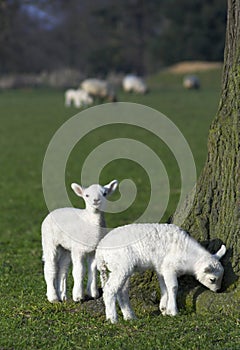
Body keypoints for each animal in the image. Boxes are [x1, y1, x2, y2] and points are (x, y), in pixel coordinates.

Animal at [94, 223, 226, 324]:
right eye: (212, 279)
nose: (218, 290)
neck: (188, 255)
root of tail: (100, 251)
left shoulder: (161, 268)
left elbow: (164, 287)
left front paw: (164, 308)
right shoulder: (169, 267)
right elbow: (173, 287)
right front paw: (173, 311)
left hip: (122, 268)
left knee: (121, 291)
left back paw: (130, 317)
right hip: (121, 265)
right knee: (110, 289)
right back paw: (112, 319)